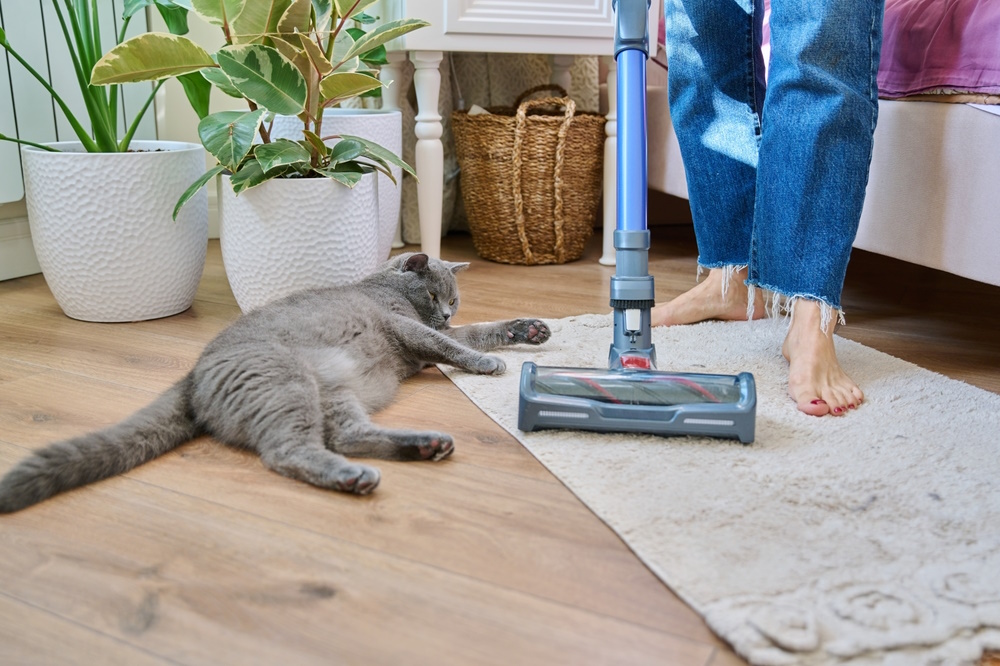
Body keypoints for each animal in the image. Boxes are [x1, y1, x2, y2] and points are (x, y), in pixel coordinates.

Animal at [0, 252, 552, 510]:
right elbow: (453, 346)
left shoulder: (430, 337)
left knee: (346, 435)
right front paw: (487, 365)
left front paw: (530, 329)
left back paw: (424, 446)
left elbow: (478, 332)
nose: (446, 311)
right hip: (287, 383)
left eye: (454, 299)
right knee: (287, 451)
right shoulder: (408, 328)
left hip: (331, 388)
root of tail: (193, 374)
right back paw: (355, 476)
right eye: (436, 295)